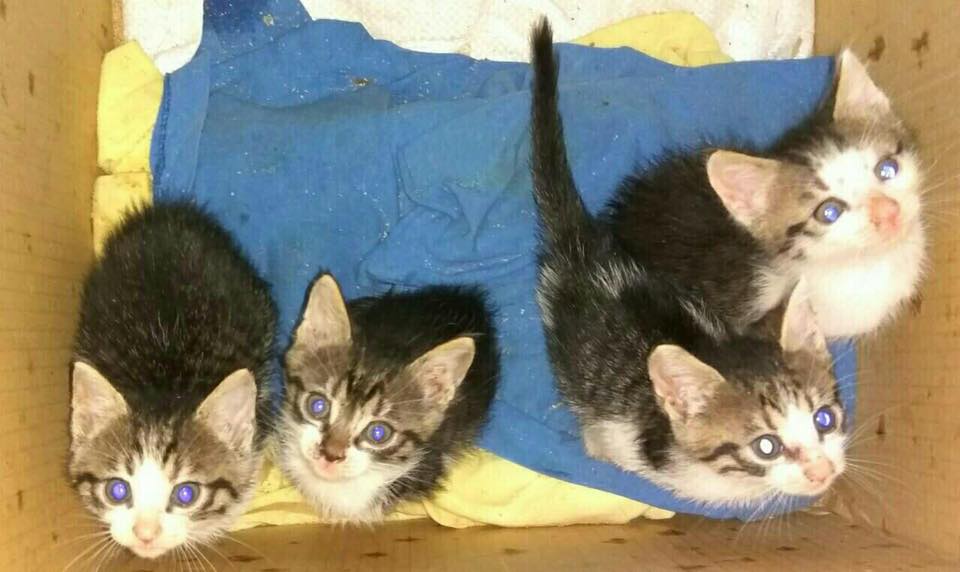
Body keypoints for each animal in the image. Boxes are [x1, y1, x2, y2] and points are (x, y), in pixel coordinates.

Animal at [530, 20, 845, 505]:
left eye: (823, 420)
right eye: (766, 447)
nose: (822, 471)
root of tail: (585, 246)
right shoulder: (625, 439)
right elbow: (606, 443)